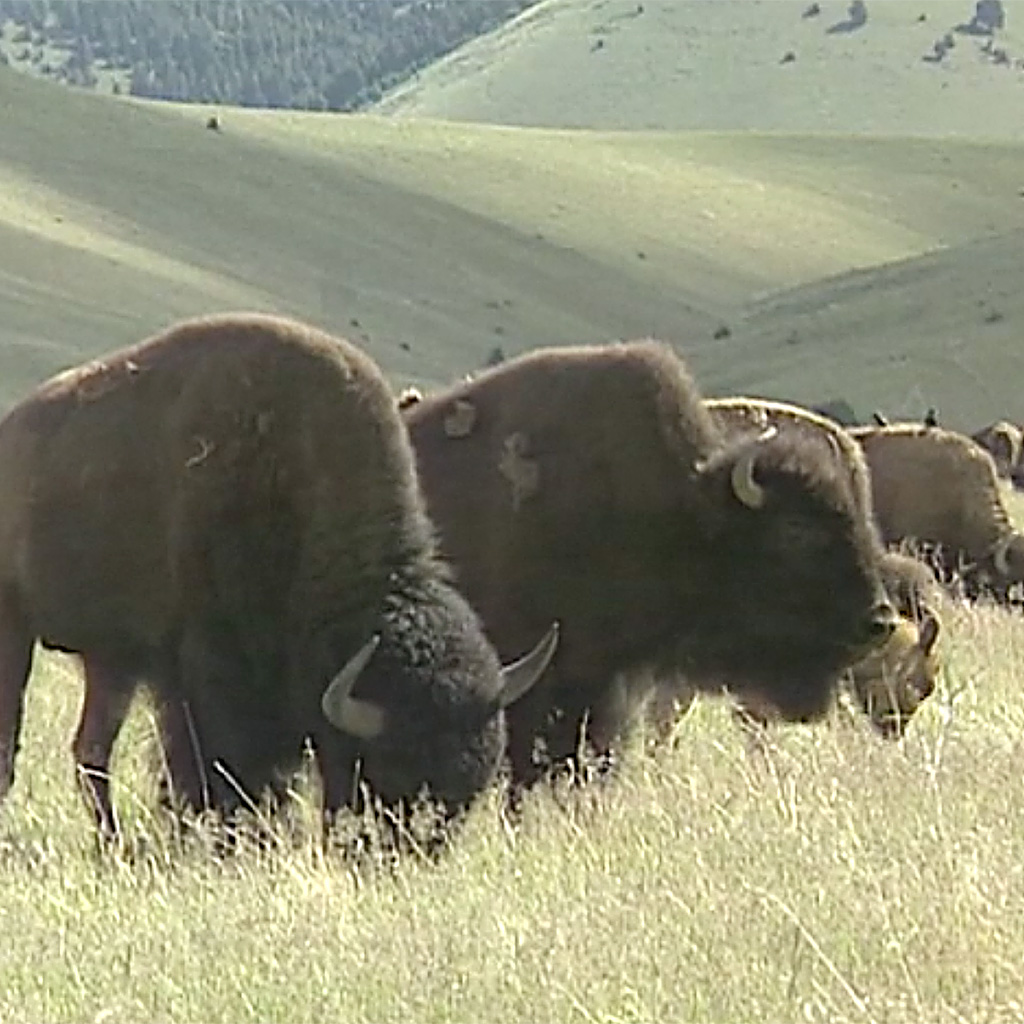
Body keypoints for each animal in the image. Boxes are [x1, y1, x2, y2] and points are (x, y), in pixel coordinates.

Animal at [0, 313, 557, 842]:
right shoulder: (205, 680)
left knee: (91, 753)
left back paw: (111, 844)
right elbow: (209, 767)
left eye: (473, 787)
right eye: (388, 770)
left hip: (110, 661)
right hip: (18, 631)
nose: (408, 850)